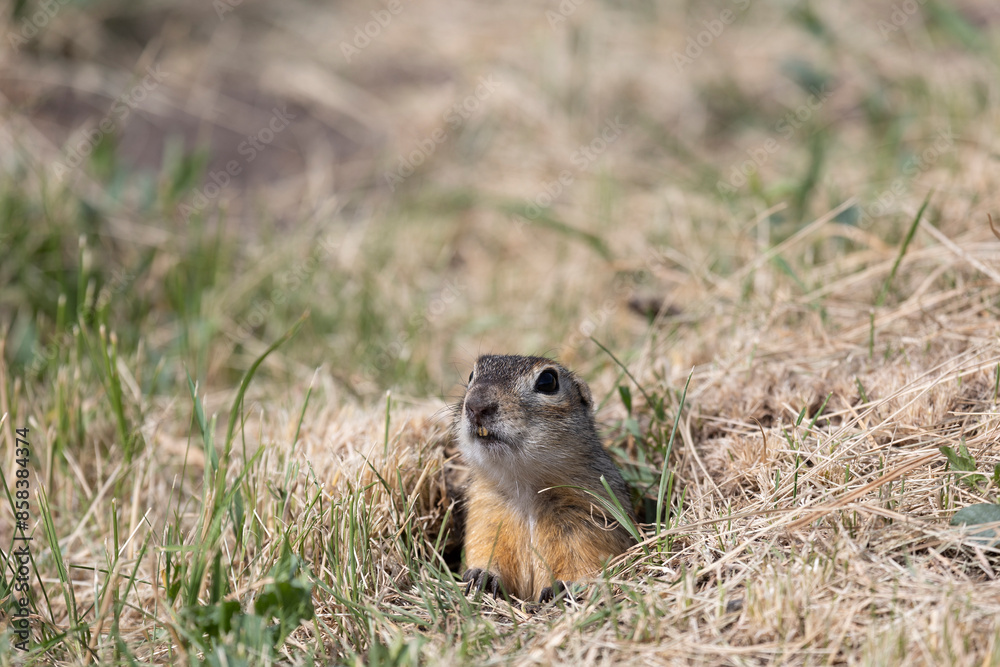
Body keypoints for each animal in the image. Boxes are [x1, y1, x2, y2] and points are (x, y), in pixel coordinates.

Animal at [455, 354, 635, 602]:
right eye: (472, 374)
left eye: (548, 381)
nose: (476, 405)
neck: (524, 487)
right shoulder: (486, 513)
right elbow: (486, 547)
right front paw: (481, 575)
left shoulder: (589, 519)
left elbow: (586, 560)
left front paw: (565, 586)